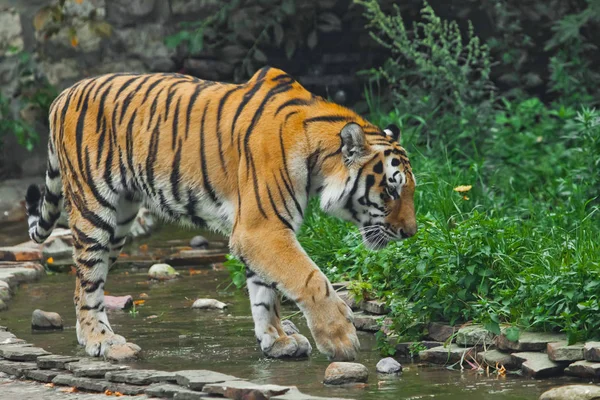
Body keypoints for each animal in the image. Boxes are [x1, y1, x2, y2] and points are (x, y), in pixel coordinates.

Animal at [24, 66, 418, 362]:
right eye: (391, 190)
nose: (411, 233)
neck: (317, 159)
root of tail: (62, 95)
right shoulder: (262, 228)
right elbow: (309, 278)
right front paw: (340, 337)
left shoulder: (261, 230)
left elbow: (265, 292)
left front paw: (278, 340)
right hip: (95, 212)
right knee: (86, 284)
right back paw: (102, 341)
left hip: (121, 220)